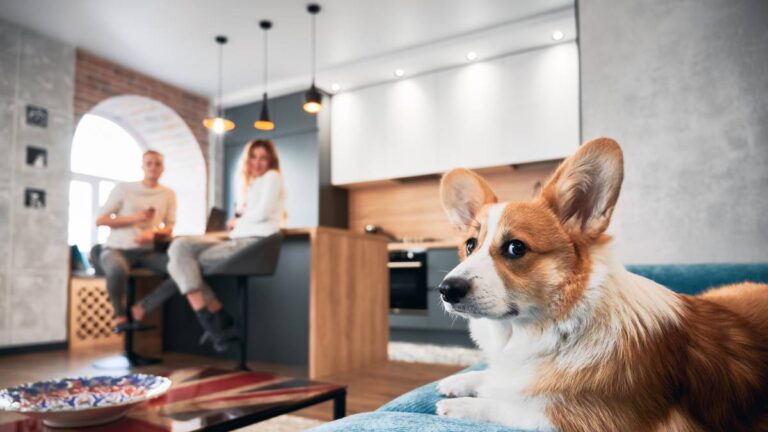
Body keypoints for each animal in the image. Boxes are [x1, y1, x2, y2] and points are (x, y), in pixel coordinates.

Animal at [436, 139, 768, 432]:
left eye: (516, 248)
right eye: (470, 245)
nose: (446, 289)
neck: (557, 329)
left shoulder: (591, 419)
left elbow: (513, 408)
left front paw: (458, 406)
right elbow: (497, 380)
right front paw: (459, 381)